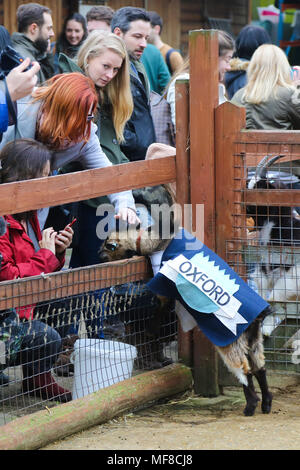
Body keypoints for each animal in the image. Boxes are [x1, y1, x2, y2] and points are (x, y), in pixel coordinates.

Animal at [99, 184, 274, 414]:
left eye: (107, 246)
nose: (99, 256)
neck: (149, 238)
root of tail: (260, 315)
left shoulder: (162, 282)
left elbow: (160, 305)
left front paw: (151, 330)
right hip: (254, 339)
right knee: (260, 367)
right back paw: (266, 403)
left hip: (231, 342)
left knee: (244, 371)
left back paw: (250, 406)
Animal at [246, 156, 300, 336]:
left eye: (259, 188)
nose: (244, 206)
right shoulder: (265, 267)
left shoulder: (291, 270)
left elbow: (274, 299)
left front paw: (266, 329)